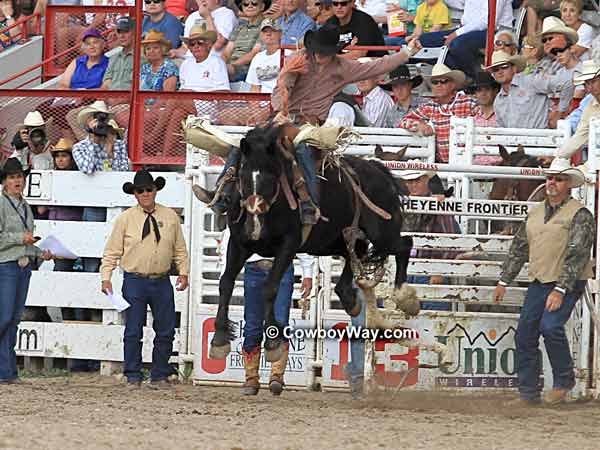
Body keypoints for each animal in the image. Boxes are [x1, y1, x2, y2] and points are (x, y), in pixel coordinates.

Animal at [211, 123, 418, 362]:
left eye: (272, 178)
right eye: (242, 177)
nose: (254, 226)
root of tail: (380, 172)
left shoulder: (288, 244)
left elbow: (270, 286)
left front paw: (272, 340)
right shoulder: (238, 243)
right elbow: (225, 282)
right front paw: (219, 337)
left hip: (382, 233)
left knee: (405, 244)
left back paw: (404, 296)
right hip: (334, 240)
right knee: (356, 252)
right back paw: (350, 299)